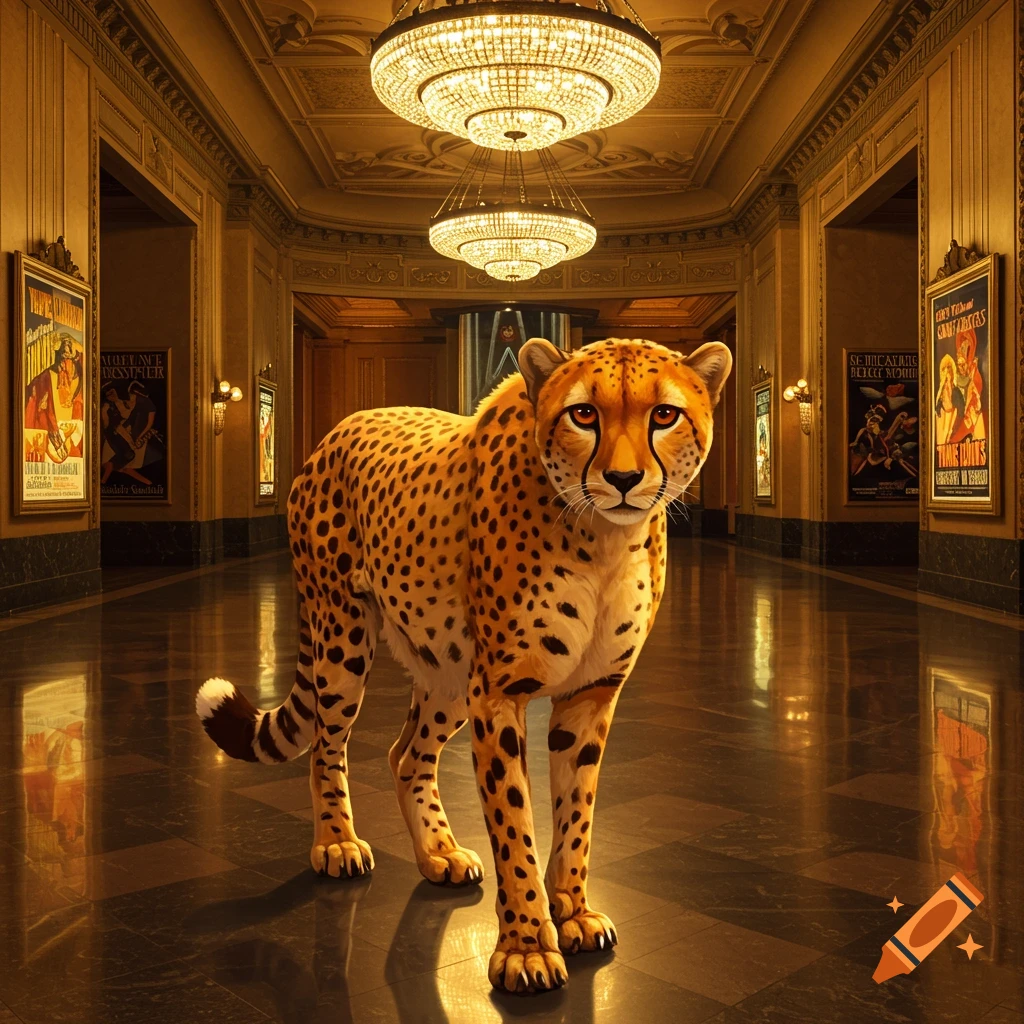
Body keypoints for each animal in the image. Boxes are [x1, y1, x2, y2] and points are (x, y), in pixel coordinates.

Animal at [195, 336, 732, 994]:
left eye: (665, 414)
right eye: (583, 414)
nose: (625, 479)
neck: (603, 537)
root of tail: (338, 430)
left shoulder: (590, 695)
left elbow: (576, 813)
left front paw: (572, 912)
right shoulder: (499, 692)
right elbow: (514, 823)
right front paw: (527, 946)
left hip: (448, 669)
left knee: (407, 754)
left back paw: (438, 853)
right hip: (343, 636)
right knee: (327, 743)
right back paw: (338, 843)